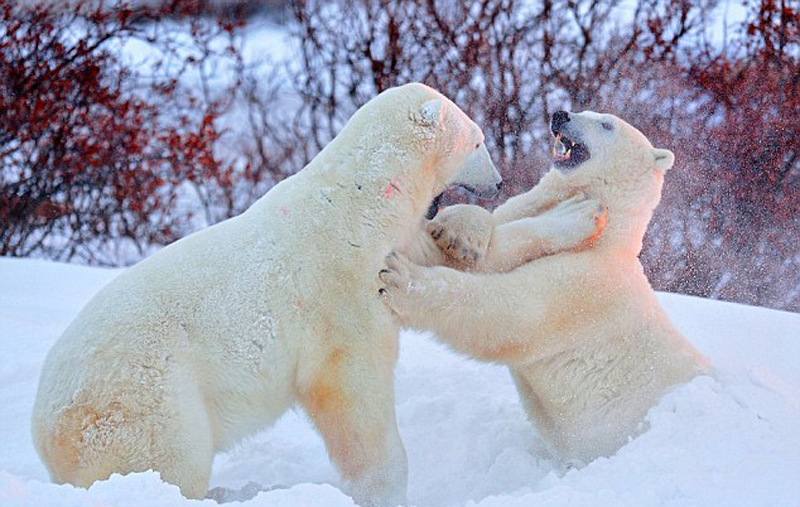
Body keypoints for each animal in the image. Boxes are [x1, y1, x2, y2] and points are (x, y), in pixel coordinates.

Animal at [31, 81, 512, 506]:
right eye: (478, 142)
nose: (500, 181)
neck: (365, 200)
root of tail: (44, 428)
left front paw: (463, 238)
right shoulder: (340, 289)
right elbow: (350, 388)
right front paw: (384, 490)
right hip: (144, 396)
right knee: (170, 458)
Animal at [382, 111, 712, 468]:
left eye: (606, 124)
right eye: (585, 110)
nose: (560, 115)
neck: (607, 239)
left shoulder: (584, 287)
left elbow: (511, 312)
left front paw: (400, 278)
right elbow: (493, 234)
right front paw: (459, 231)